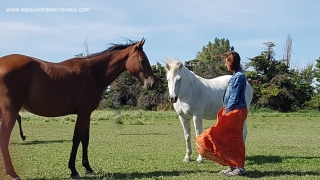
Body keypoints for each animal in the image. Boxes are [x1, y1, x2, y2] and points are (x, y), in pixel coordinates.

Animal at [0, 38, 155, 179]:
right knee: (4, 139)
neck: (94, 73)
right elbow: (76, 139)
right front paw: (73, 170)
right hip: (10, 112)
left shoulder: (87, 114)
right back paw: (13, 173)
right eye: (142, 59)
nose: (152, 83)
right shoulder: (83, 113)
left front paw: (88, 168)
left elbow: (85, 139)